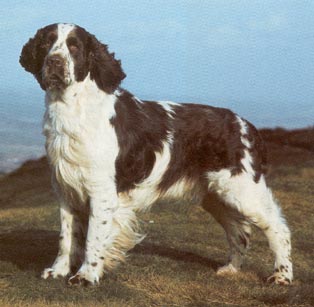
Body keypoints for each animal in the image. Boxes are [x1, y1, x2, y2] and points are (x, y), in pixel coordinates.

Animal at [19, 22, 294, 286]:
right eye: (46, 43)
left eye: (74, 46)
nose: (54, 61)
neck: (75, 109)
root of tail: (246, 125)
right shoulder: (66, 190)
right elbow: (66, 237)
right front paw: (58, 271)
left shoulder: (101, 192)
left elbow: (93, 239)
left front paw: (87, 276)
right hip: (216, 196)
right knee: (239, 232)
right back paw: (231, 269)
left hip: (243, 191)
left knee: (278, 228)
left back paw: (282, 276)